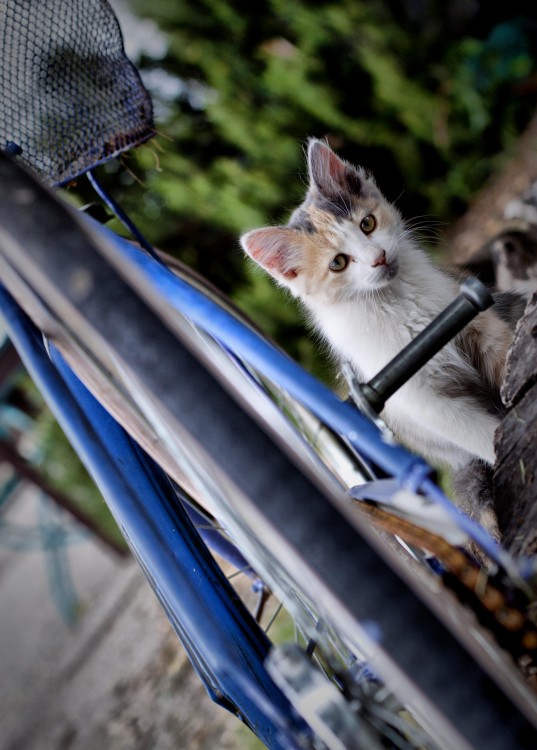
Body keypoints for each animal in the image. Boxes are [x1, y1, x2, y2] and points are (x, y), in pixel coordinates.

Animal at [240, 138, 516, 532]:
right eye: (338, 263)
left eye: (367, 224)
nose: (378, 257)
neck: (396, 299)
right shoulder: (424, 403)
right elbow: (480, 434)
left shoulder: (476, 323)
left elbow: (505, 359)